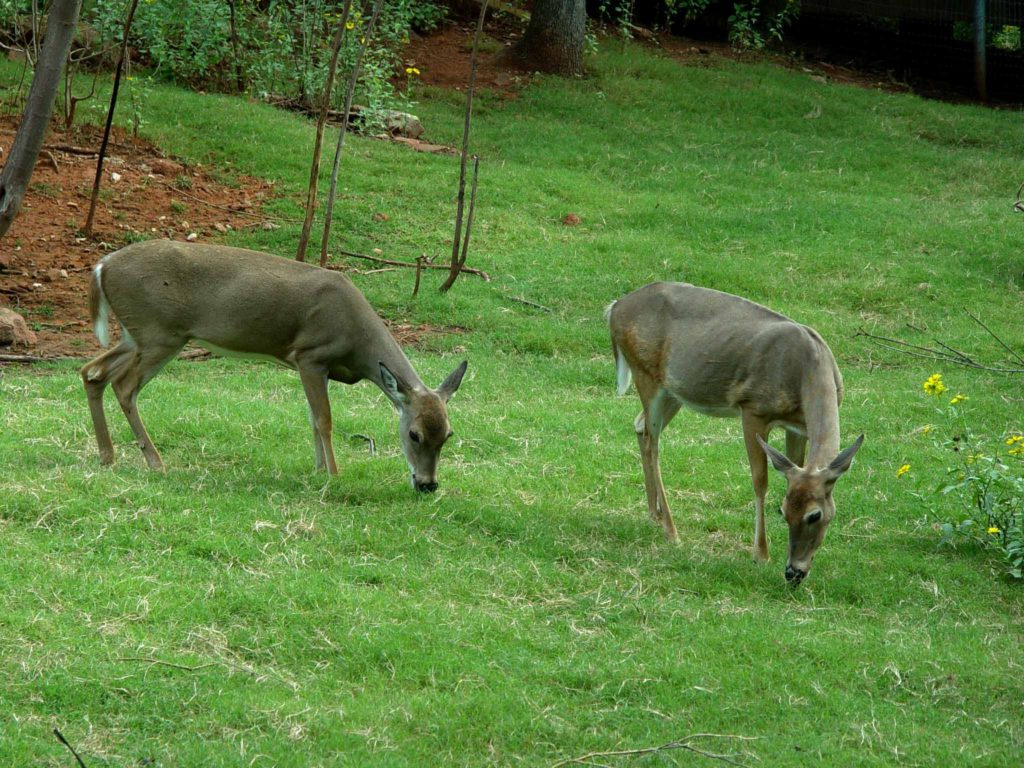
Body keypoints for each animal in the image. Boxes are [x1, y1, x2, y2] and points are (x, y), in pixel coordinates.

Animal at [80, 239, 467, 492]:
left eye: (448, 434)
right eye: (414, 434)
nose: (428, 484)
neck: (356, 338)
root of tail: (102, 266)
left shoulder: (314, 366)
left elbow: (312, 419)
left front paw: (317, 470)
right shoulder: (311, 355)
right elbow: (324, 420)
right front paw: (333, 475)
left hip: (138, 335)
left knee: (92, 372)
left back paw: (107, 456)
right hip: (160, 331)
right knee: (124, 386)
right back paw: (155, 462)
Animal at [607, 282, 863, 584]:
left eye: (813, 515)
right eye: (785, 511)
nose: (793, 573)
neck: (810, 369)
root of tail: (614, 307)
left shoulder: (798, 426)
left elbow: (793, 465)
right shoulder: (753, 408)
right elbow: (760, 480)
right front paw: (760, 554)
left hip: (673, 391)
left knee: (640, 425)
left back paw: (654, 514)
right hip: (645, 373)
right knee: (652, 441)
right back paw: (671, 530)